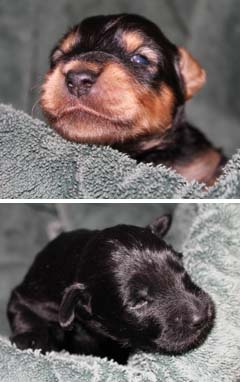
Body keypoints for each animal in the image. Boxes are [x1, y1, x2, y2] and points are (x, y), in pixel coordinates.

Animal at [7, 215, 215, 364]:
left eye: (182, 269)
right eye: (138, 302)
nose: (201, 316)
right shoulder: (36, 295)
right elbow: (22, 309)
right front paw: (31, 339)